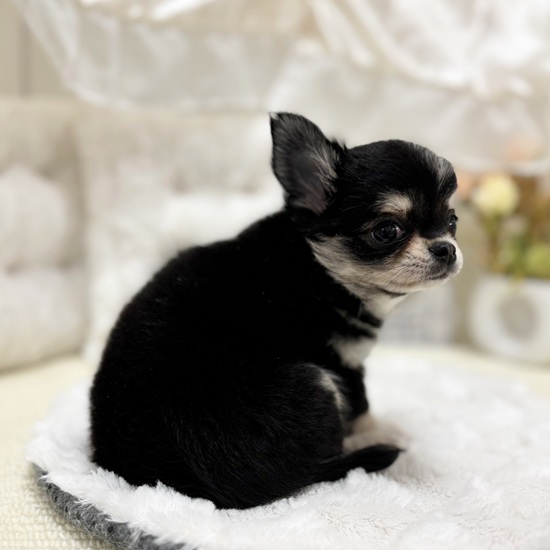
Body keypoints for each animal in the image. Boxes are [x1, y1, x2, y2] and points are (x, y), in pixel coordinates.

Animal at [90, 113, 463, 509]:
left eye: (452, 221)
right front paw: (381, 431)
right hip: (319, 383)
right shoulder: (343, 366)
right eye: (387, 230)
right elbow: (363, 408)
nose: (446, 248)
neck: (317, 268)